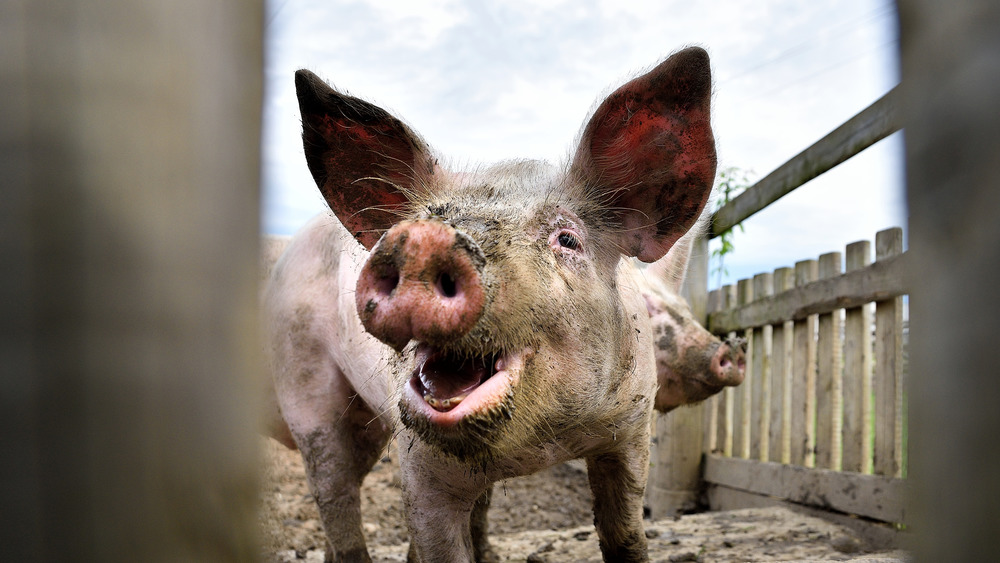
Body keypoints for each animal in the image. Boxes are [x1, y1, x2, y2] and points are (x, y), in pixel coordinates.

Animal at [264, 46, 720, 560]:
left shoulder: (630, 429)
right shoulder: (419, 464)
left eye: (567, 238)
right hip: (304, 383)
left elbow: (625, 535)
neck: (542, 446)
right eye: (428, 218)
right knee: (335, 495)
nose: (423, 239)